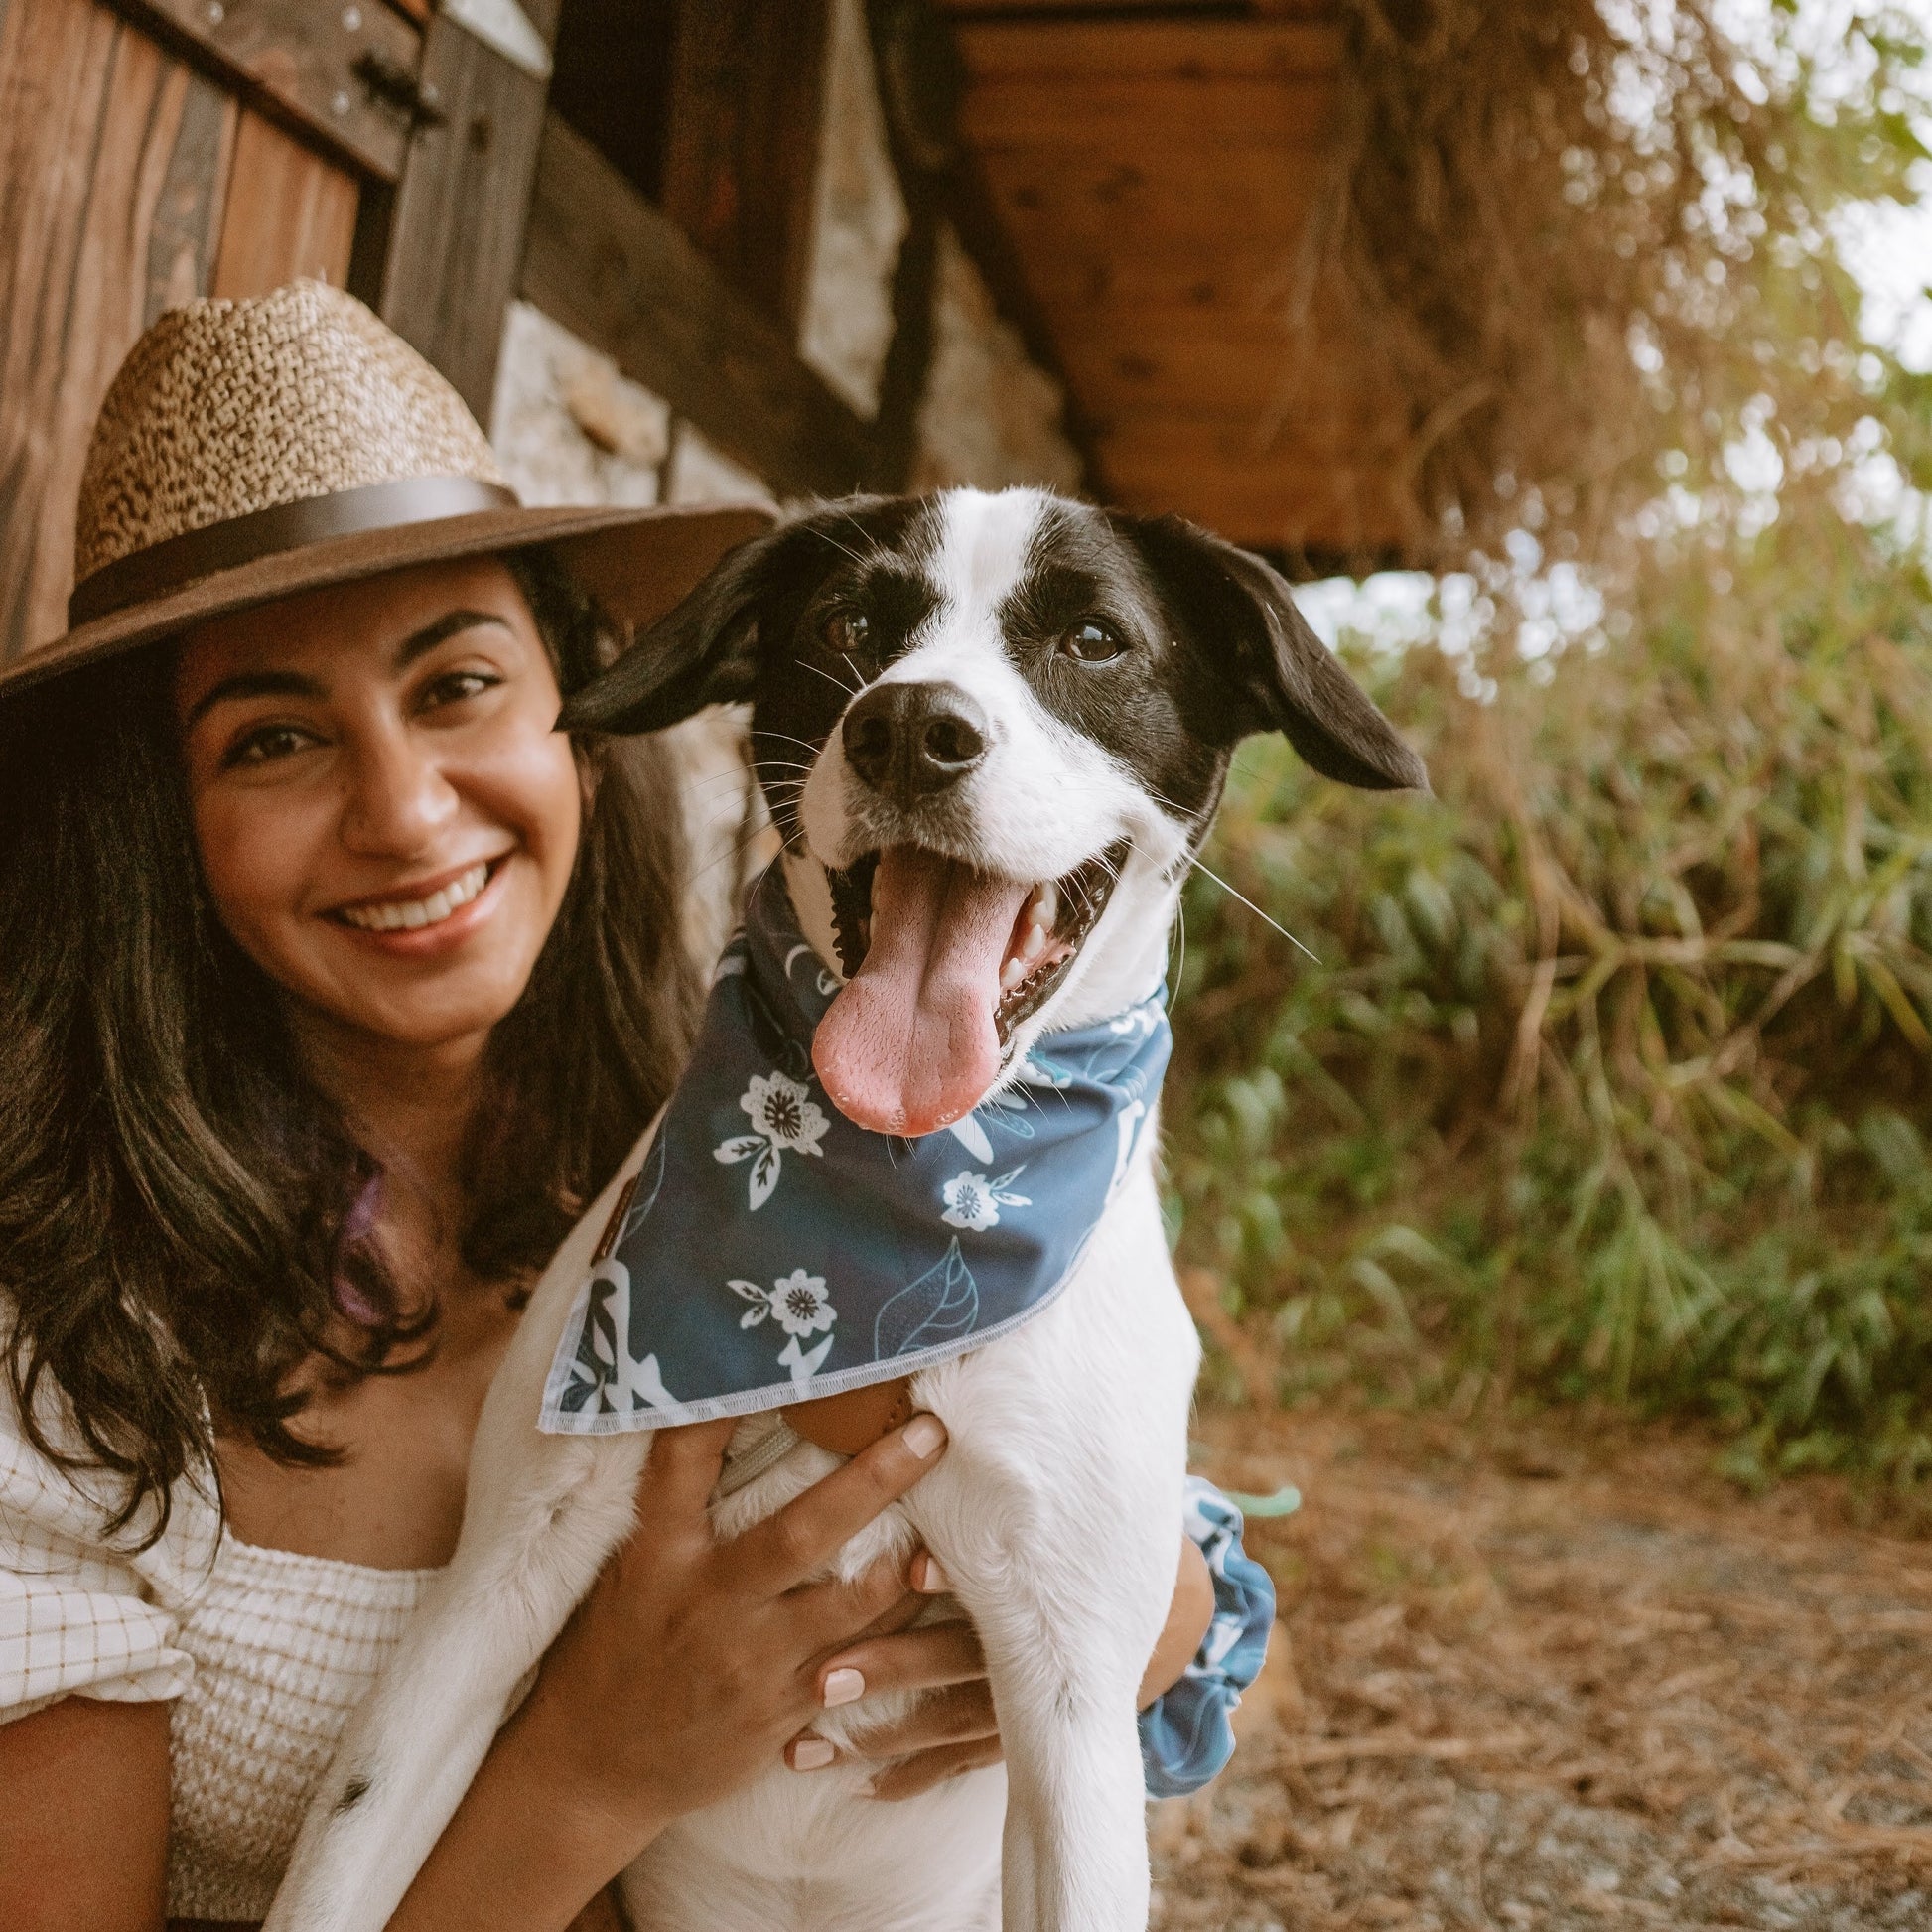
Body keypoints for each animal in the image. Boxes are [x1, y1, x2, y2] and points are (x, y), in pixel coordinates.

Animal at [268, 490, 1422, 1924]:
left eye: (1095, 638)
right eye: (846, 625)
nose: (911, 728)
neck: (897, 1204)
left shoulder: (1071, 1701)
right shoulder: (489, 1588)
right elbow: (339, 1864)